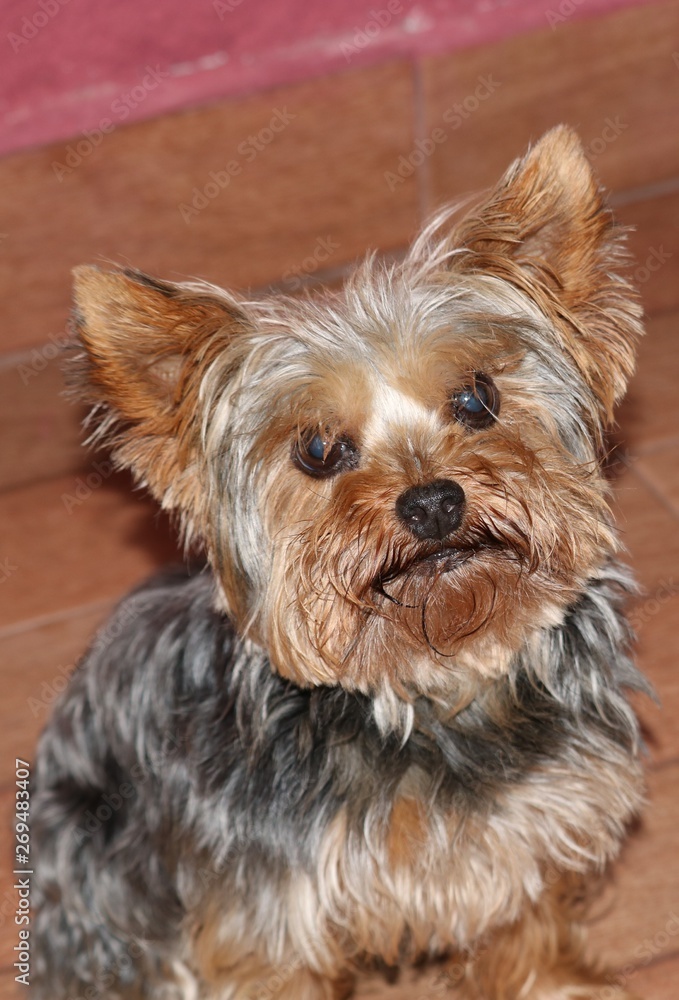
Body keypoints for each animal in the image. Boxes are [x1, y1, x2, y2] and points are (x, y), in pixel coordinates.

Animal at [31, 127, 648, 1000]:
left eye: (478, 399)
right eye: (318, 451)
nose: (433, 504)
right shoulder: (270, 913)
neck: (435, 690)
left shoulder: (531, 822)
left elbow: (525, 923)